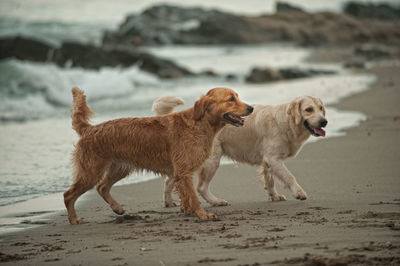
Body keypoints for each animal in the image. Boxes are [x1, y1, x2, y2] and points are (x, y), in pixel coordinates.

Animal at [63, 87, 252, 222]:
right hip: (91, 172)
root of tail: (89, 129)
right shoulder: (184, 172)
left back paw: (117, 208)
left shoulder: (181, 173)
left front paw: (188, 211)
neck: (200, 123)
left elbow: (186, 196)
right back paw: (74, 219)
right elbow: (193, 196)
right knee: (68, 195)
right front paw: (202, 215)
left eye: (237, 96)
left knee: (102, 187)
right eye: (231, 99)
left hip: (120, 168)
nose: (251, 107)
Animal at [152, 95, 326, 206]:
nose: (324, 121)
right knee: (200, 187)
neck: (287, 122)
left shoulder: (268, 160)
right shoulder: (273, 158)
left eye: (321, 108)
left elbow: (269, 181)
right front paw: (299, 193)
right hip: (211, 160)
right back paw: (216, 201)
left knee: (169, 180)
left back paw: (169, 202)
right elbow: (289, 176)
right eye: (308, 109)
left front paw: (274, 196)